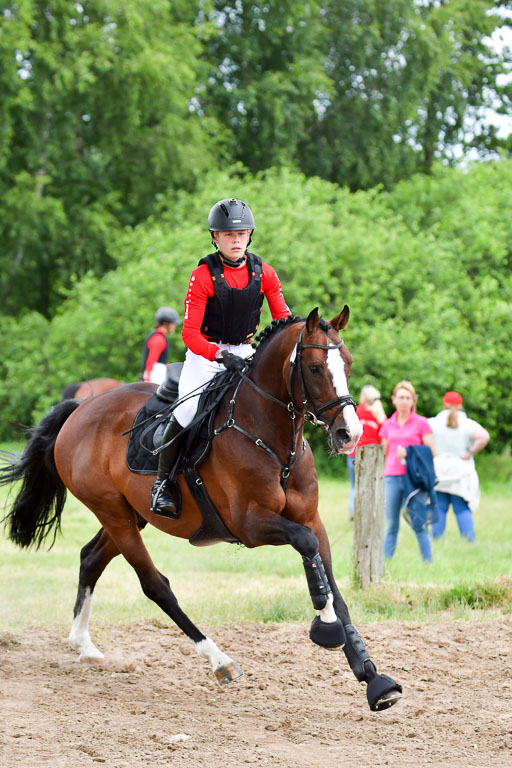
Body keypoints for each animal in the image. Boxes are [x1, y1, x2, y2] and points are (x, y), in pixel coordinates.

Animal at [1, 307, 402, 712]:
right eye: (316, 368)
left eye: (347, 363)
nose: (350, 434)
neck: (273, 440)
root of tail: (80, 409)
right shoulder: (250, 525)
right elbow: (307, 548)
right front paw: (326, 622)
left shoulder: (311, 519)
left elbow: (332, 582)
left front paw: (373, 678)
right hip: (113, 513)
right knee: (154, 585)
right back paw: (219, 660)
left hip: (130, 516)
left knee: (90, 558)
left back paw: (83, 644)